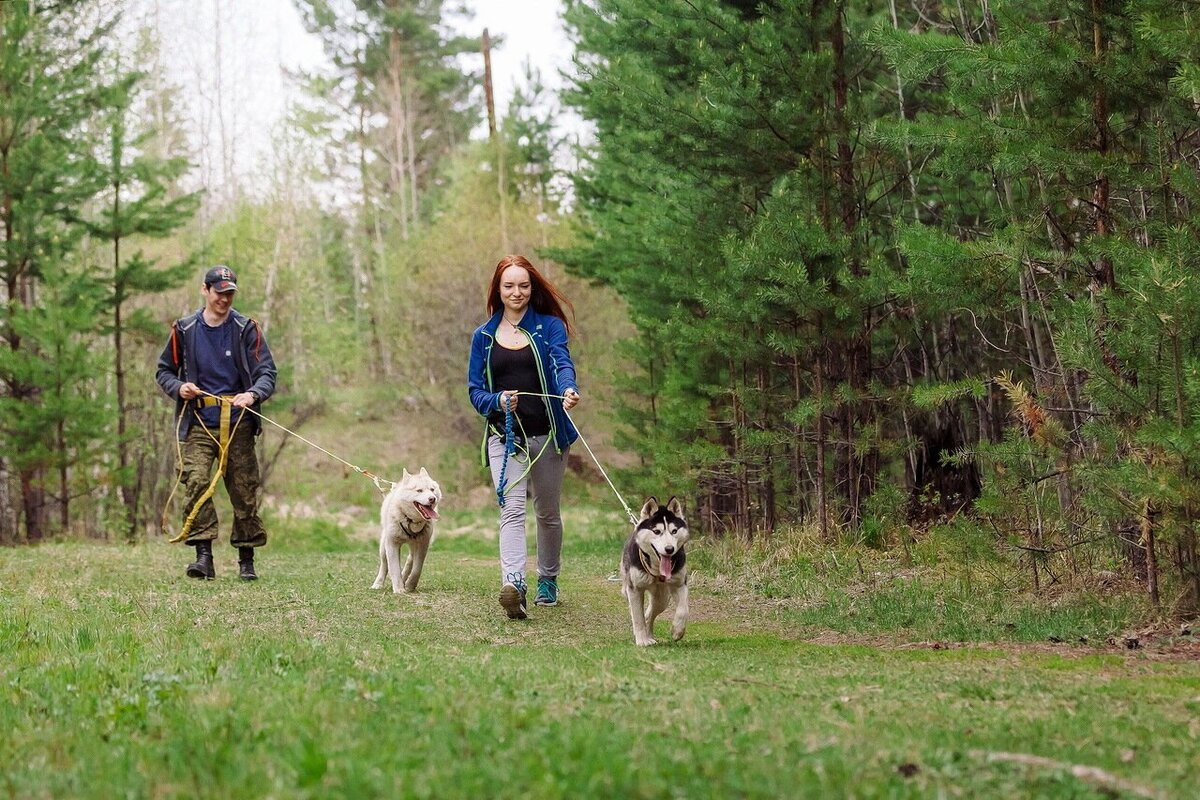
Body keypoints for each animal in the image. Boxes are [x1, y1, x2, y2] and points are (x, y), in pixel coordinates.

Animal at [624, 496, 691, 647]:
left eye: (674, 531)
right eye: (656, 531)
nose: (669, 549)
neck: (657, 570)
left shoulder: (680, 584)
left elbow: (683, 609)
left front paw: (677, 631)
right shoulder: (634, 589)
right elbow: (638, 617)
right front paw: (641, 641)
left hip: (662, 599)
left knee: (650, 615)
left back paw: (650, 634)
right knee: (643, 615)